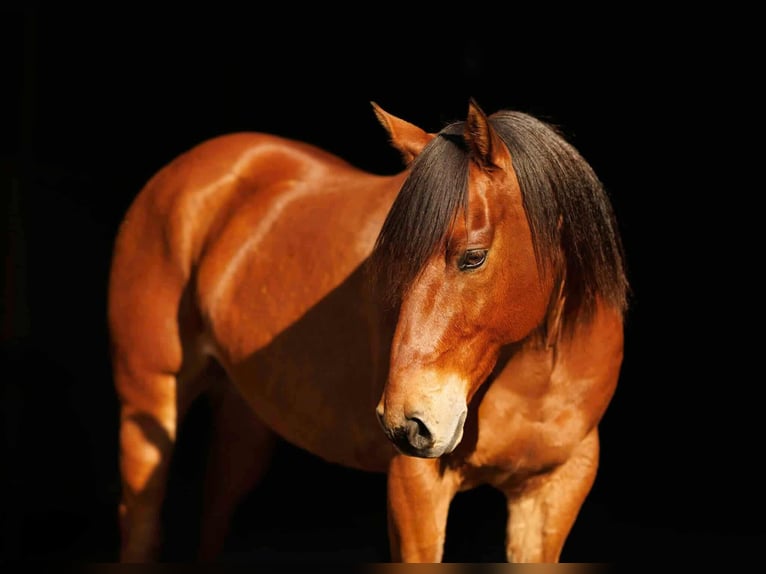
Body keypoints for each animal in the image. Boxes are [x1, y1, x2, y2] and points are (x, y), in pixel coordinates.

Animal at [107, 98, 629, 563]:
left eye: (473, 256)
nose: (406, 424)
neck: (531, 374)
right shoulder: (415, 486)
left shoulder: (554, 490)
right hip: (148, 407)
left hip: (244, 417)